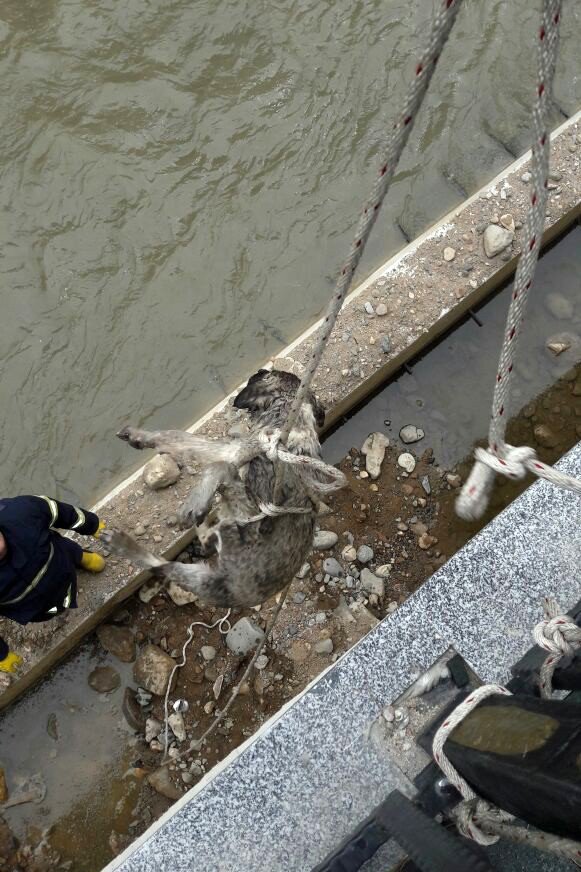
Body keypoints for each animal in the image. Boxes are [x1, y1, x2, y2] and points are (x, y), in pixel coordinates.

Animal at [102, 368, 344, 608]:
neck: (293, 419)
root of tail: (235, 598)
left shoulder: (237, 472)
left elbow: (182, 442)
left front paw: (139, 437)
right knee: (206, 540)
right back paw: (202, 523)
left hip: (212, 554)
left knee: (160, 565)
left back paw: (124, 542)